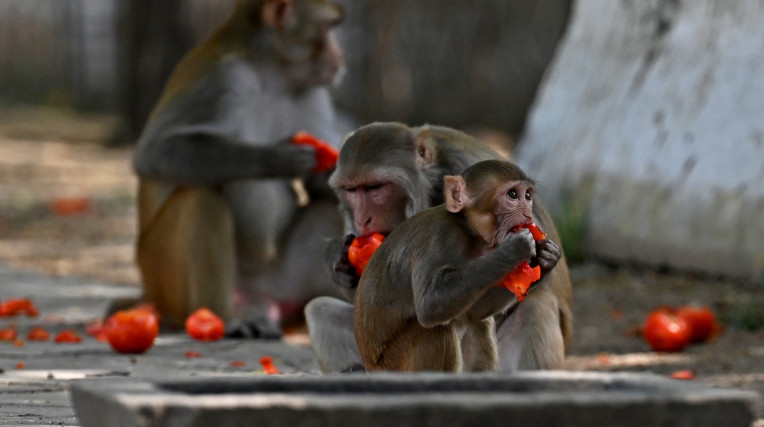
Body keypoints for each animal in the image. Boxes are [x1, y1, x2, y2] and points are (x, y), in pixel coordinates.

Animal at [126, 0, 350, 336]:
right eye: (329, 27)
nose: (340, 57)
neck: (273, 74)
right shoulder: (224, 79)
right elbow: (156, 151)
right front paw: (279, 157)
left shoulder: (314, 92)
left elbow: (324, 189)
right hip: (161, 276)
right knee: (200, 195)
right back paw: (223, 316)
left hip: (281, 286)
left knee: (326, 209)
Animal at [354, 160, 560, 372]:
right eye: (513, 195)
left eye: (527, 195)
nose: (528, 214)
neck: (470, 231)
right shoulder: (442, 235)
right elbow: (430, 304)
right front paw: (515, 248)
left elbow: (477, 311)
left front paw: (547, 259)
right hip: (395, 362)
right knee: (435, 329)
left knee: (478, 323)